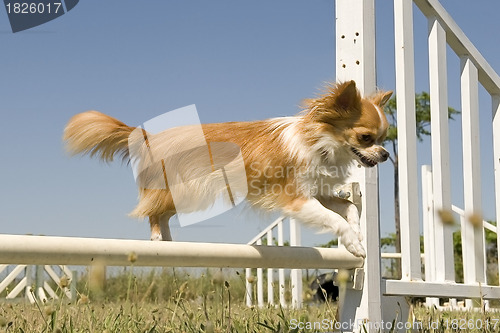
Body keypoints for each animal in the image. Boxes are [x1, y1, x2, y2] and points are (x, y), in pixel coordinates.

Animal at [63, 81, 390, 256]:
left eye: (385, 137)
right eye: (366, 137)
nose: (386, 154)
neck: (321, 142)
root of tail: (150, 136)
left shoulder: (318, 192)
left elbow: (348, 207)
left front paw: (357, 233)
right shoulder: (296, 199)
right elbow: (333, 219)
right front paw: (354, 244)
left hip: (186, 195)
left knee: (161, 212)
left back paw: (168, 241)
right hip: (186, 191)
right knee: (153, 212)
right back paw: (157, 239)